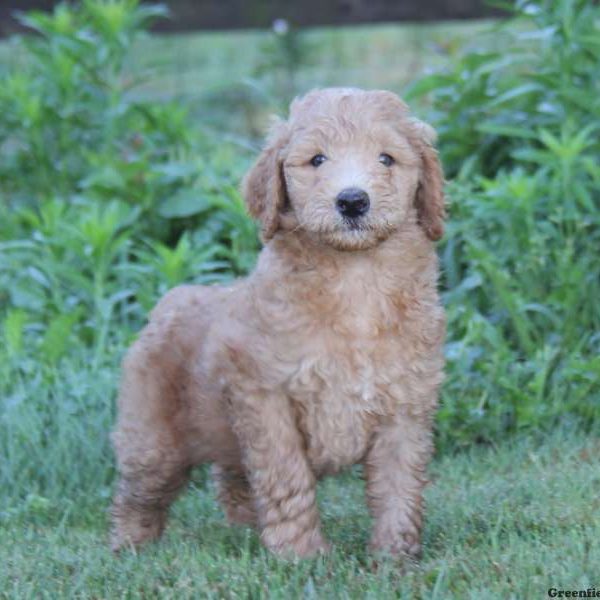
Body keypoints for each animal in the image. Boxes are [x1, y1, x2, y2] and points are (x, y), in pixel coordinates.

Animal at [111, 86, 446, 560]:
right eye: (317, 160)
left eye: (386, 159)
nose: (352, 200)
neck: (356, 279)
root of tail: (172, 300)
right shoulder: (265, 398)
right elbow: (286, 478)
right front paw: (300, 554)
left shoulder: (406, 403)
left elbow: (399, 485)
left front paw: (395, 557)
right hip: (152, 436)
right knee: (140, 491)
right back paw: (130, 546)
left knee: (232, 479)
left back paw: (244, 531)